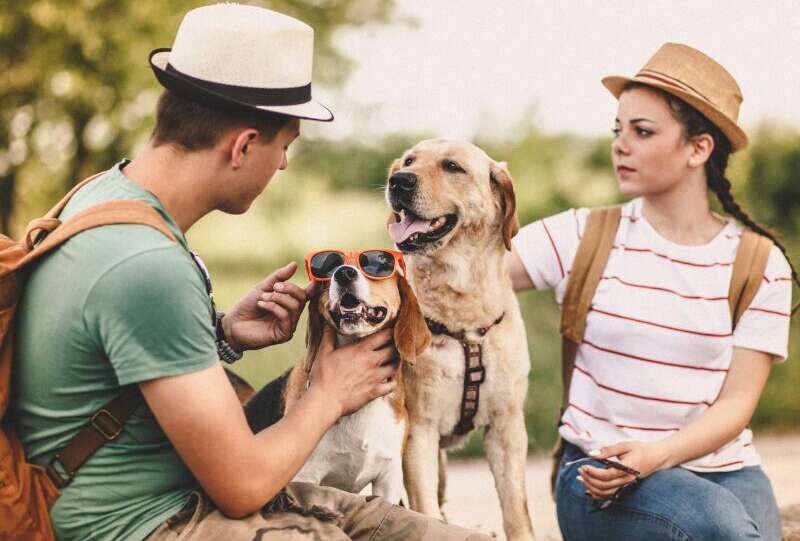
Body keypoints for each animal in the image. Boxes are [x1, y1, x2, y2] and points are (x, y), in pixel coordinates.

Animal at [384, 140, 536, 540]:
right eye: (409, 161)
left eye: (452, 166)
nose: (398, 181)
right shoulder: (420, 431)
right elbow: (427, 514)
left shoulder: (507, 427)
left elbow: (516, 510)